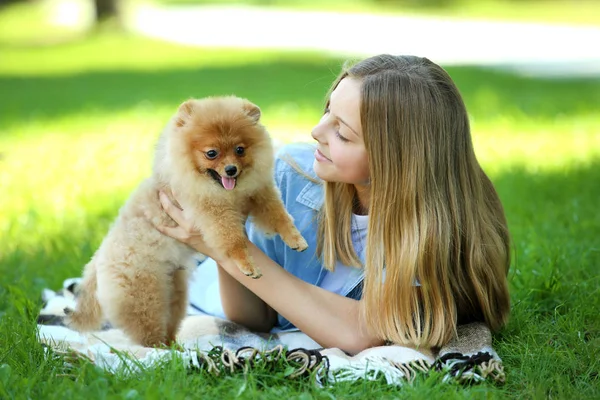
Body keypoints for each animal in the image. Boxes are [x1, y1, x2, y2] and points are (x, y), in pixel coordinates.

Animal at [66, 97, 310, 346]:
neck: (229, 193)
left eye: (240, 150)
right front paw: (247, 264)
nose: (231, 169)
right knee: (147, 333)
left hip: (175, 291)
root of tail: (99, 258)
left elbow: (279, 215)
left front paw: (295, 239)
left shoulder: (258, 194)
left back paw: (175, 348)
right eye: (211, 153)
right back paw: (158, 352)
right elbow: (233, 239)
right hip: (143, 296)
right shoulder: (214, 213)